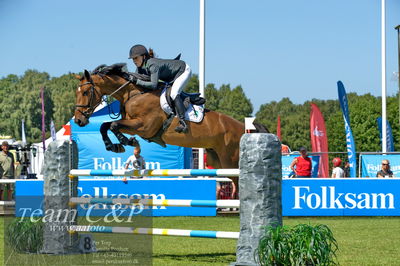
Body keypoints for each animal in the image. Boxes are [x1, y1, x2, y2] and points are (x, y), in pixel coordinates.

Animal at [75, 64, 268, 190]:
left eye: (85, 92)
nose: (78, 121)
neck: (134, 93)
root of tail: (243, 127)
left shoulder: (144, 126)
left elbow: (114, 125)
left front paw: (123, 142)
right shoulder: (133, 124)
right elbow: (106, 125)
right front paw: (114, 145)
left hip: (230, 160)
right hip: (217, 160)